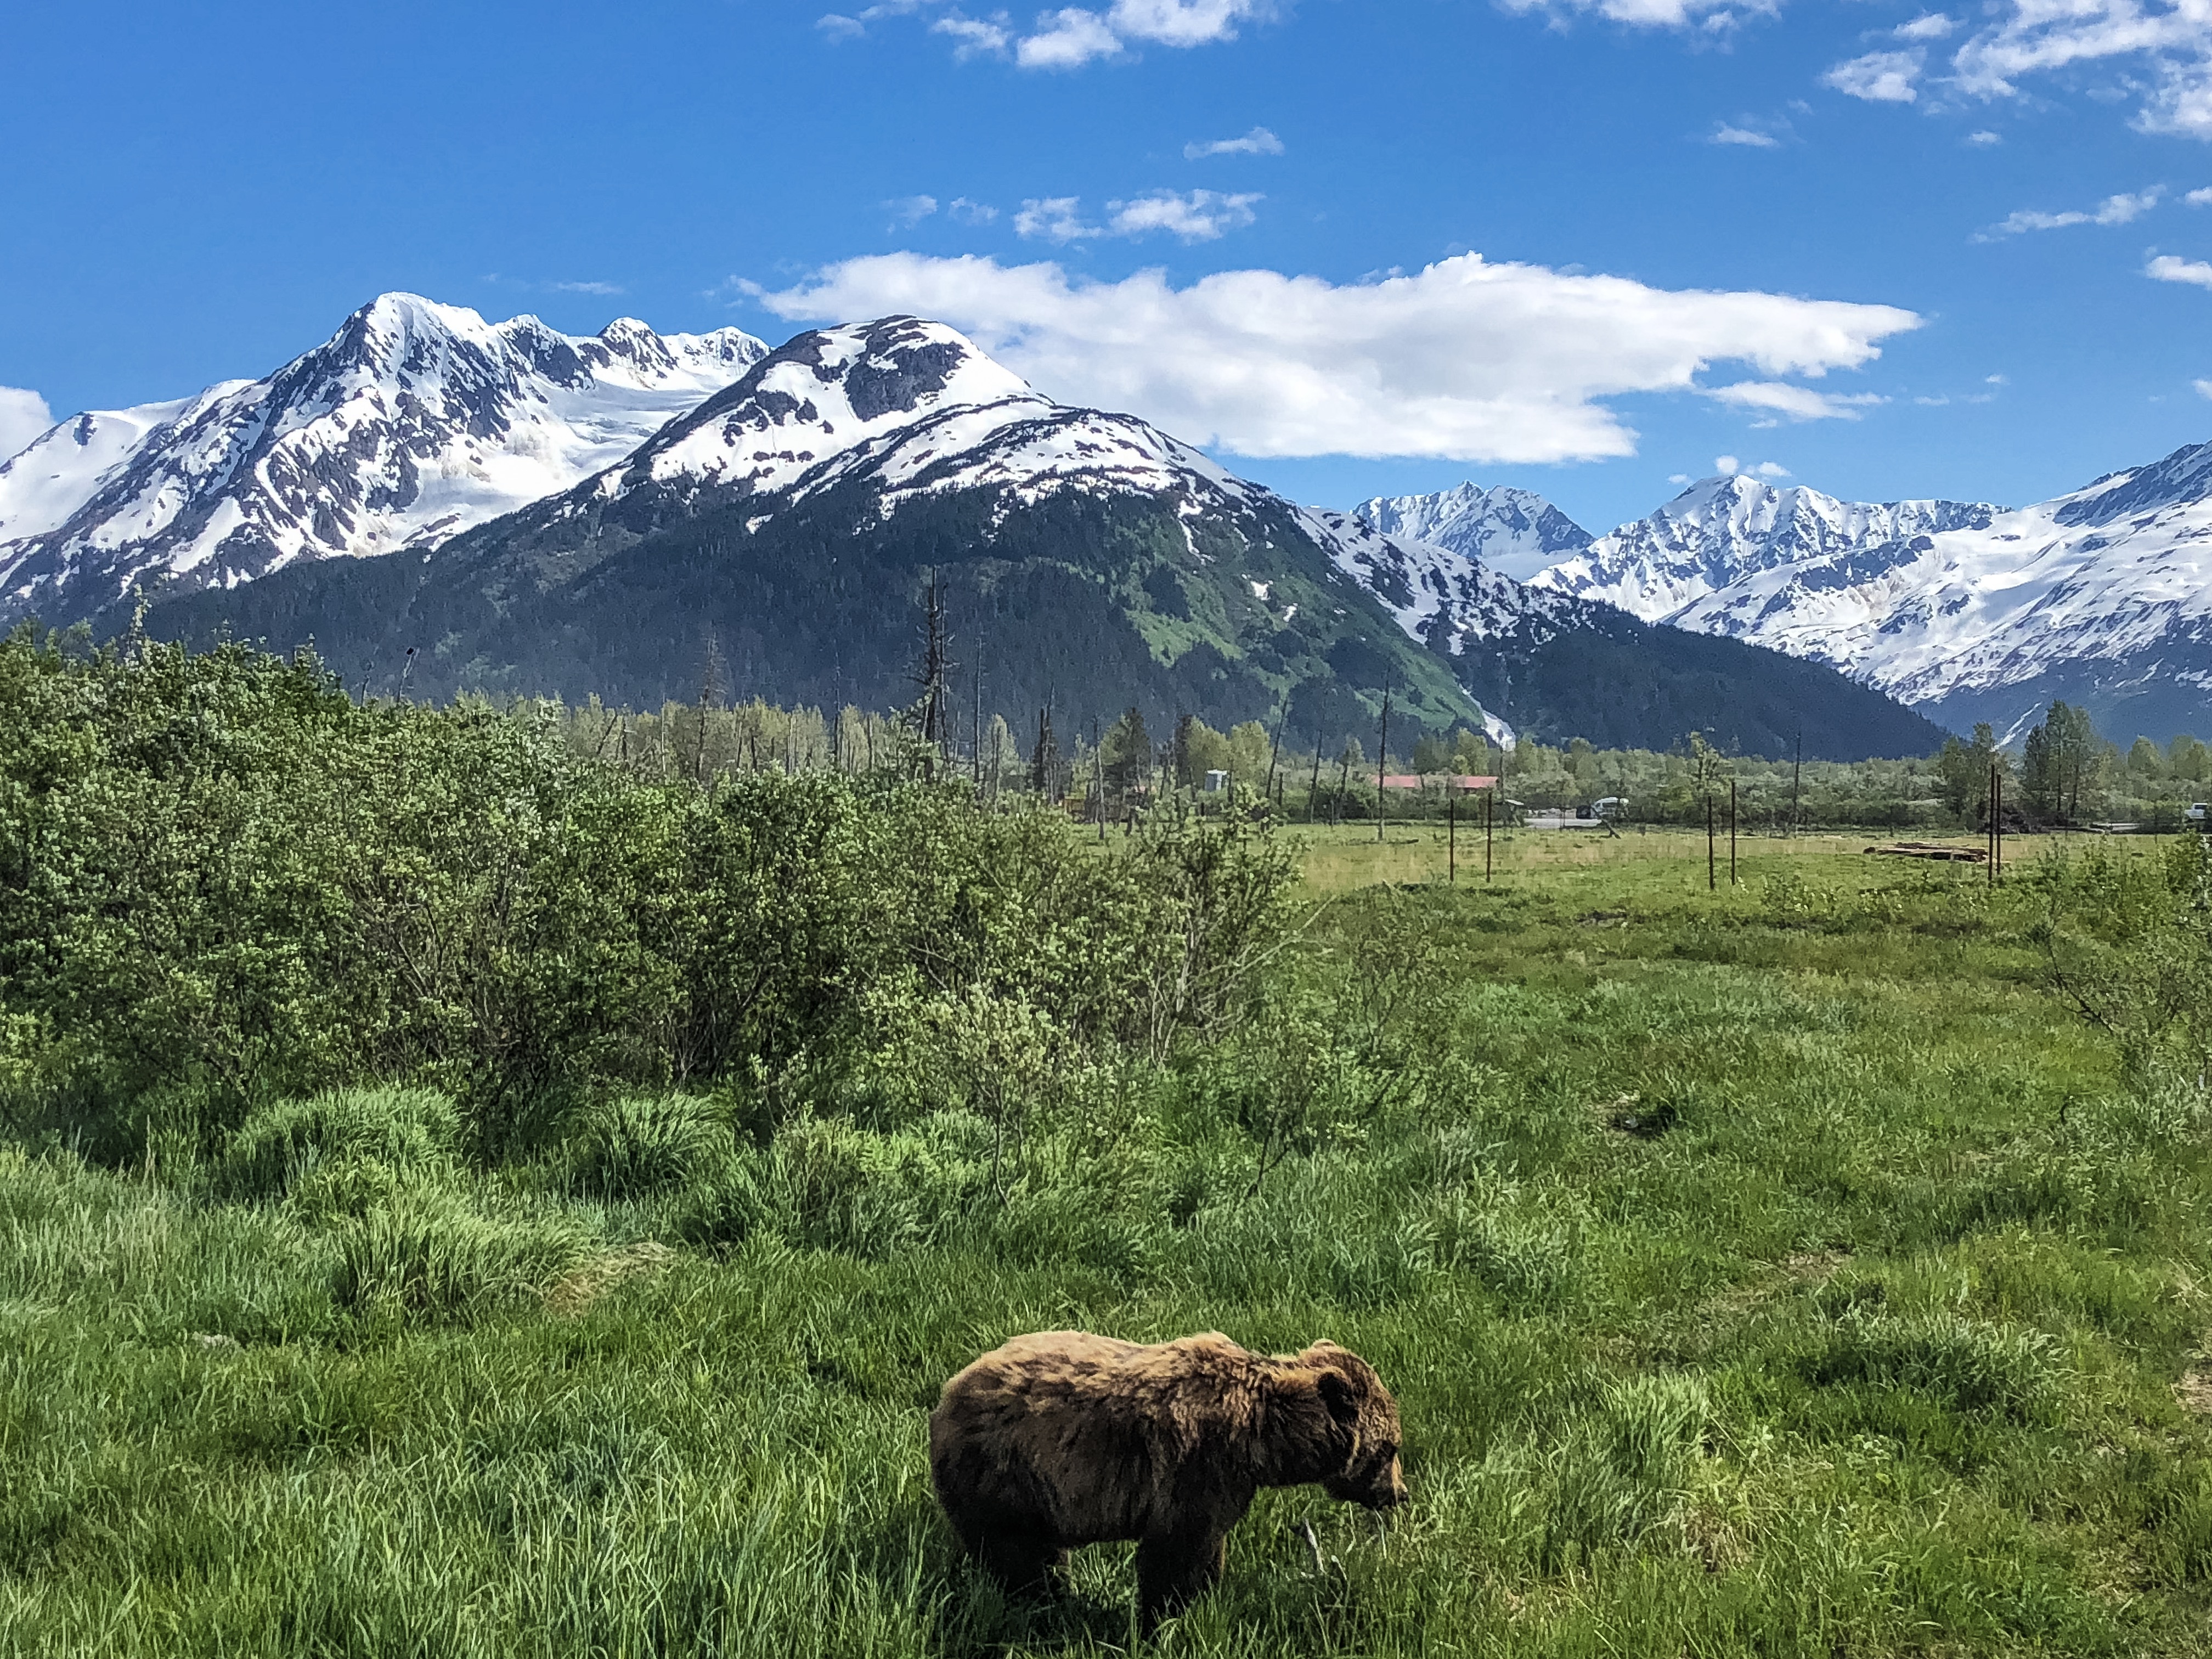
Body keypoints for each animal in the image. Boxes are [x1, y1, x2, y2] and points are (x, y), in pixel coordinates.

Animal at [927, 1330, 1404, 1628]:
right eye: (1391, 1448)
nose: (1399, 1493)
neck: (1263, 1434)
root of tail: (947, 1394)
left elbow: (1208, 1549)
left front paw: (1208, 1598)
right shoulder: (1197, 1466)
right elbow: (1176, 1553)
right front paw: (1167, 1616)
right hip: (1009, 1473)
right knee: (1020, 1555)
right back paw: (1045, 1602)